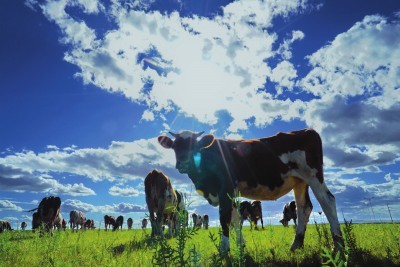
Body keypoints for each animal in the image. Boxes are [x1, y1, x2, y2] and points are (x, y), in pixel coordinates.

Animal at [159, 130, 344, 253]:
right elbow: (235, 219)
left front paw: (224, 249)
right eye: (175, 147)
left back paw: (338, 245)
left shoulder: (225, 188)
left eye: (195, 146)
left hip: (313, 175)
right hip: (299, 181)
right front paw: (241, 245)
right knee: (303, 208)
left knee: (327, 201)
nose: (183, 163)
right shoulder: (231, 193)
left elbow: (224, 218)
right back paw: (296, 245)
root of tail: (307, 131)